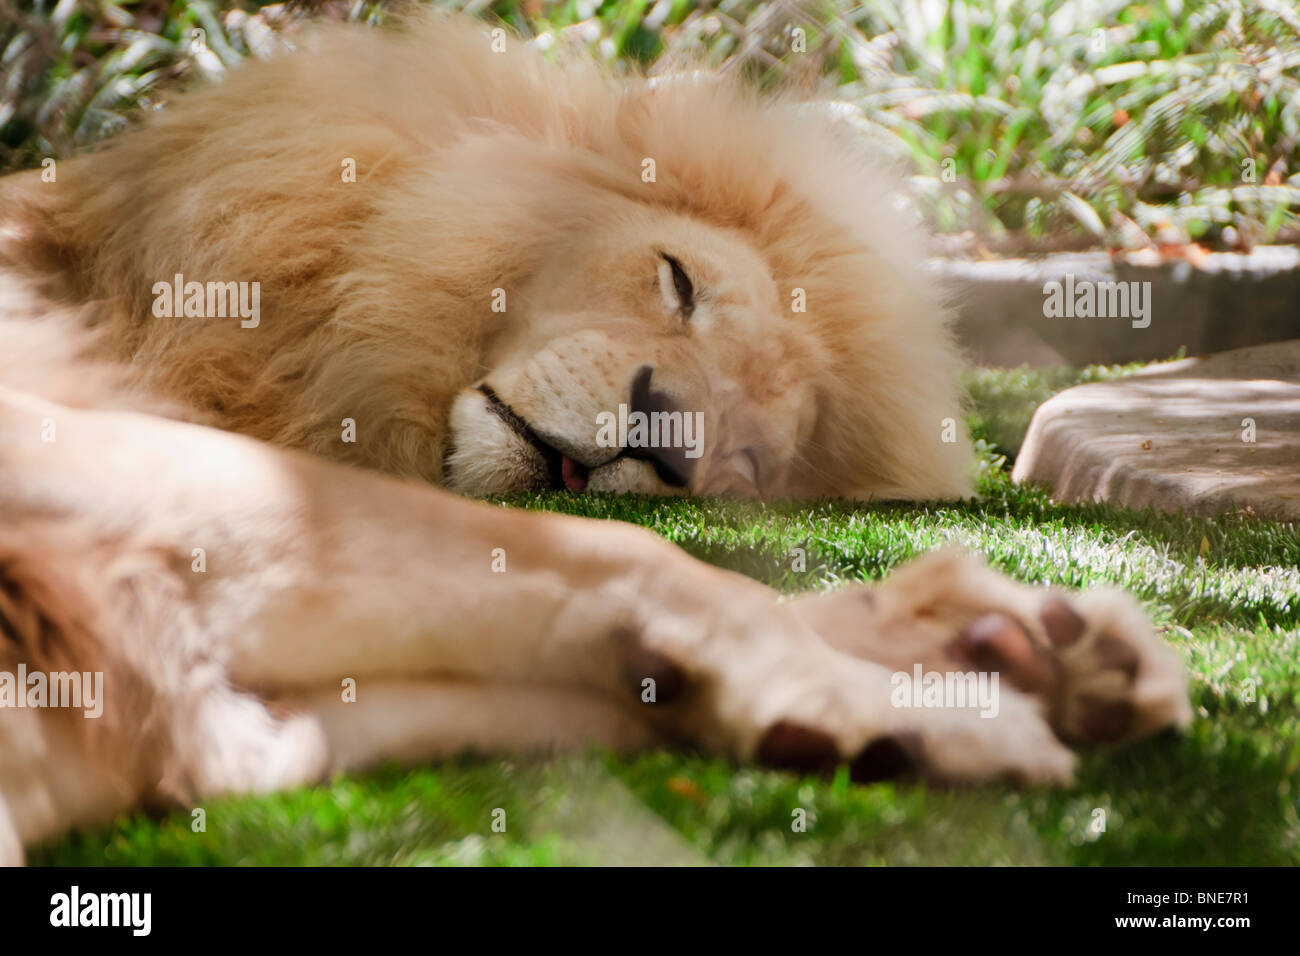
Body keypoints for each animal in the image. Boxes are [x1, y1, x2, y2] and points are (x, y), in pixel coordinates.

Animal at [0, 13, 1190, 865]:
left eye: (746, 465)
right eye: (678, 282)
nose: (663, 437)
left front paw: (992, 652)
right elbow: (639, 562)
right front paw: (921, 694)